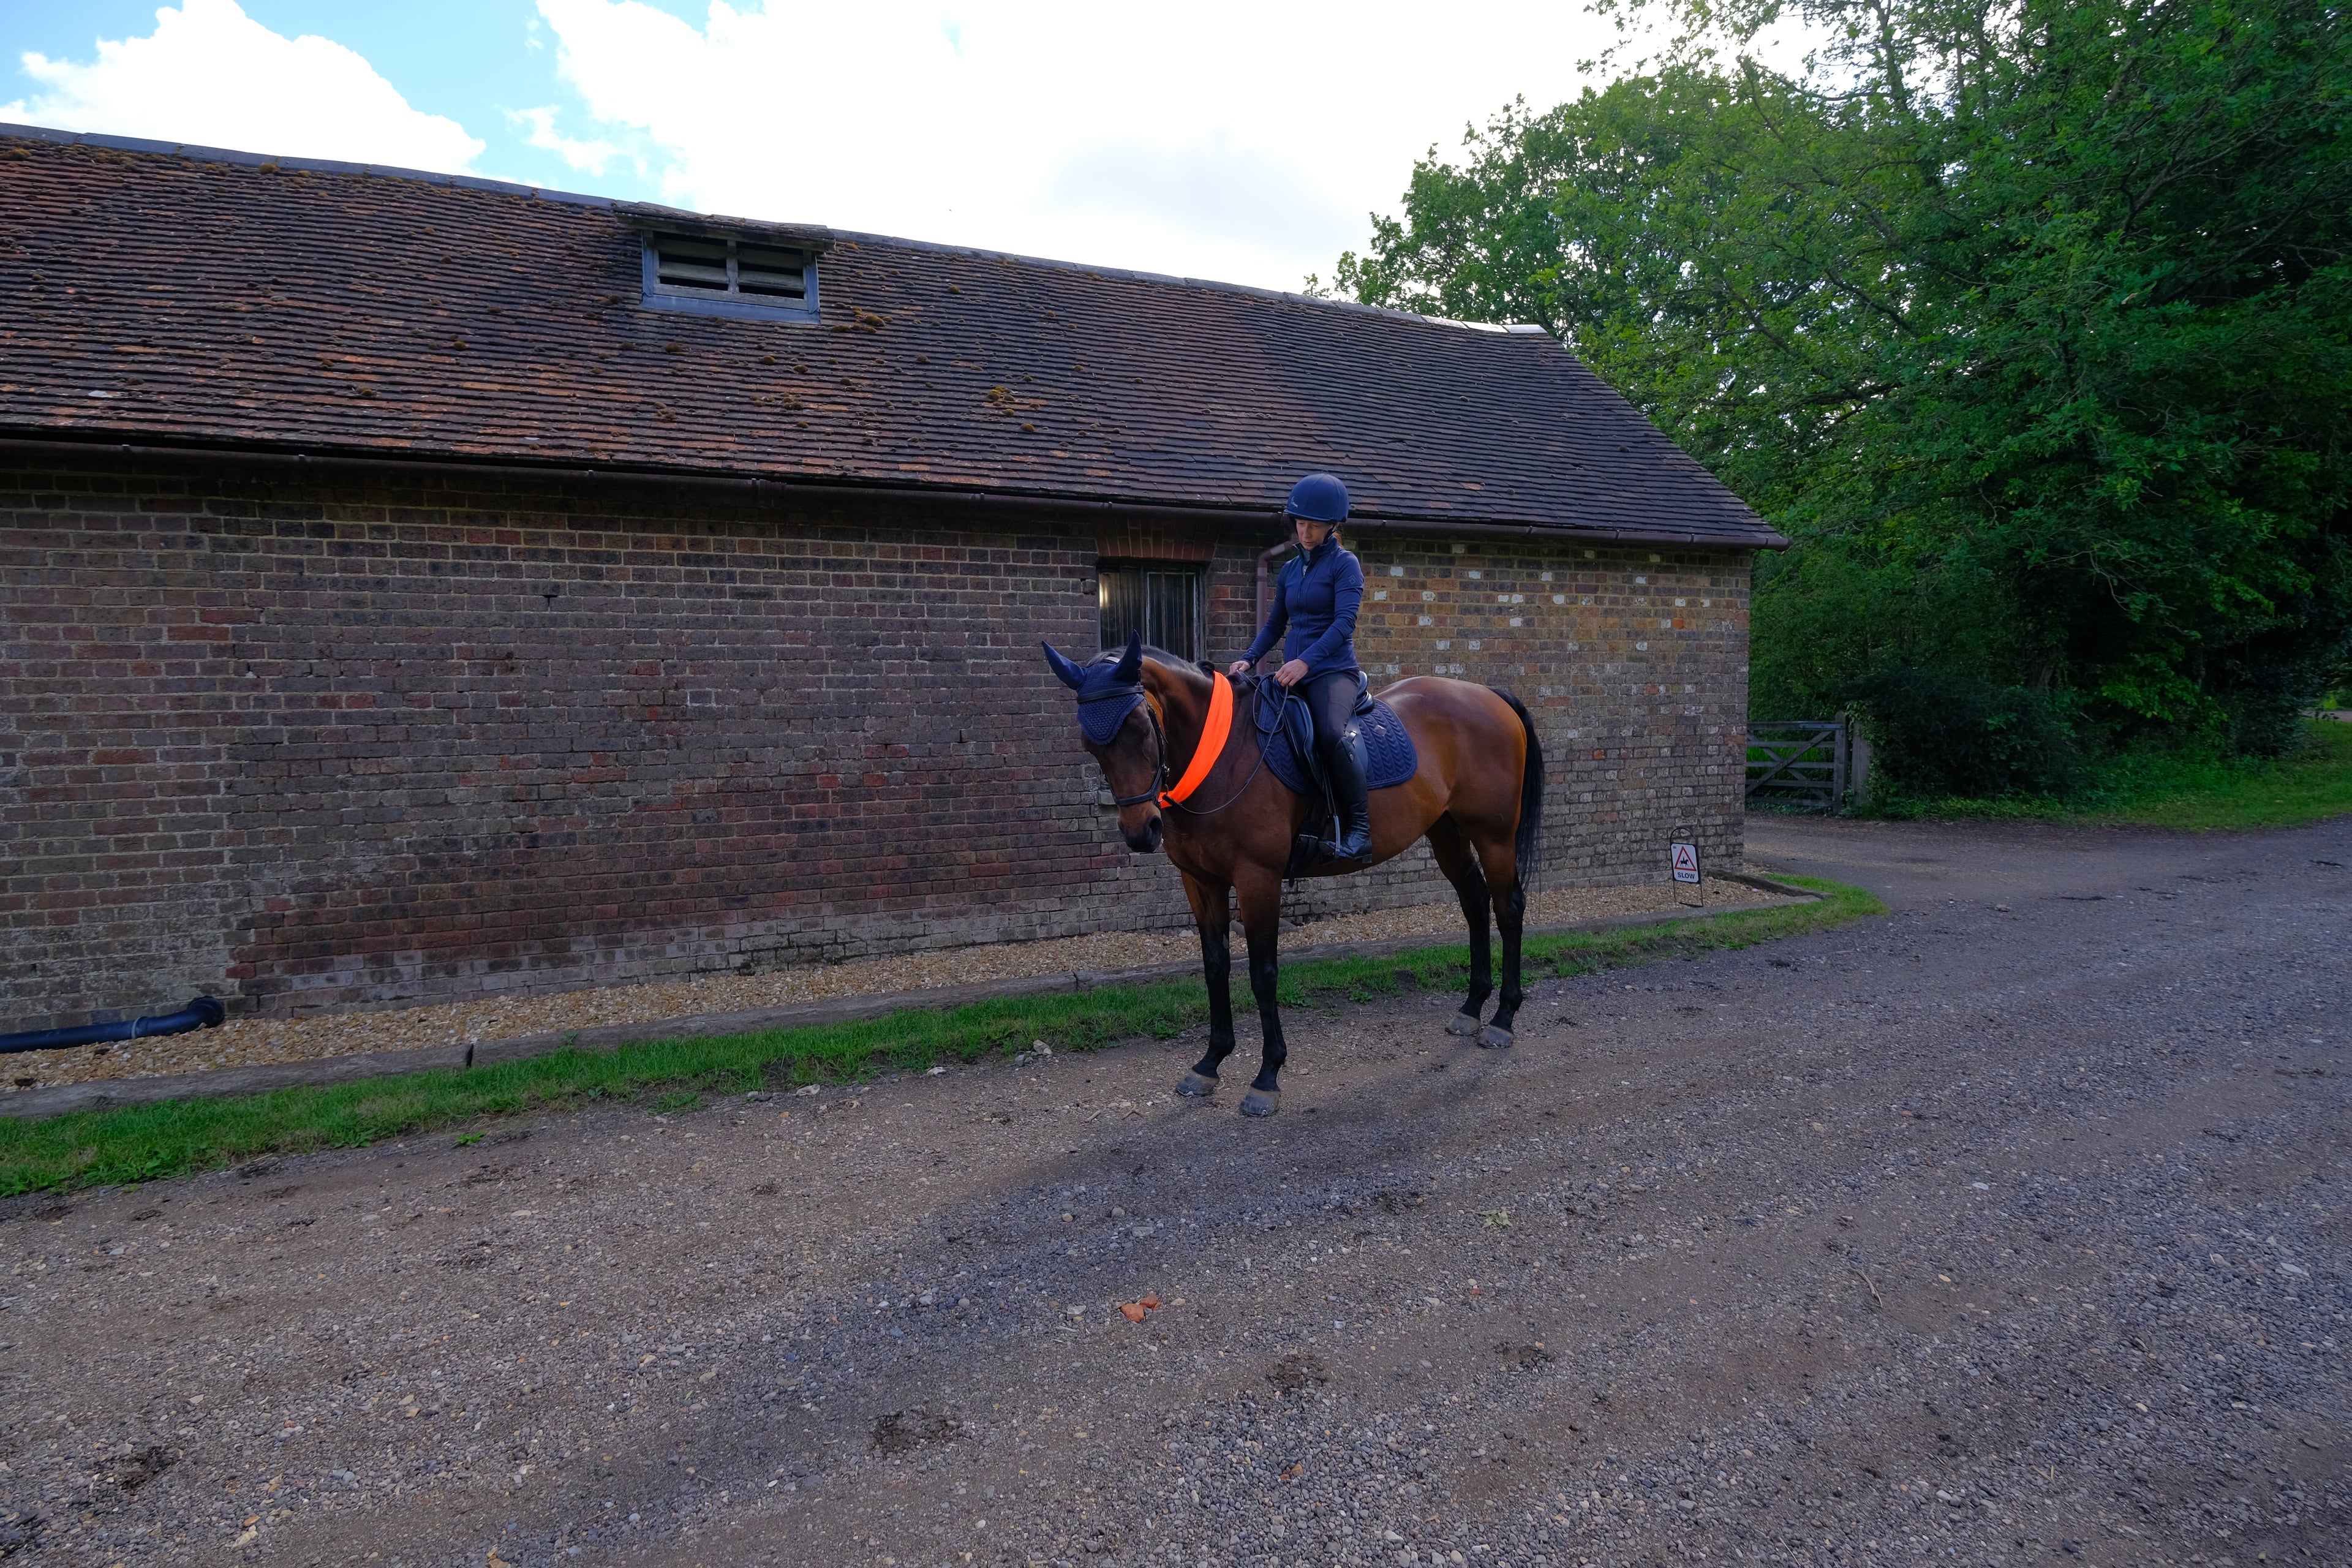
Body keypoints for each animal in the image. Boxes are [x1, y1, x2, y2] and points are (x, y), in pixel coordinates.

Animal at [1042, 633, 1544, 1116]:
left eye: (1140, 725)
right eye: (1091, 743)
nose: (1140, 831)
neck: (1221, 756)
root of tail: (1490, 695)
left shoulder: (1257, 879)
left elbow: (1264, 973)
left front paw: (1267, 1077)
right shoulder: (1201, 882)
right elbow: (1215, 966)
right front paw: (1210, 1062)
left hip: (1494, 836)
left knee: (1508, 909)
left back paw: (1502, 1019)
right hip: (1447, 832)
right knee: (1475, 904)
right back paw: (1472, 1008)